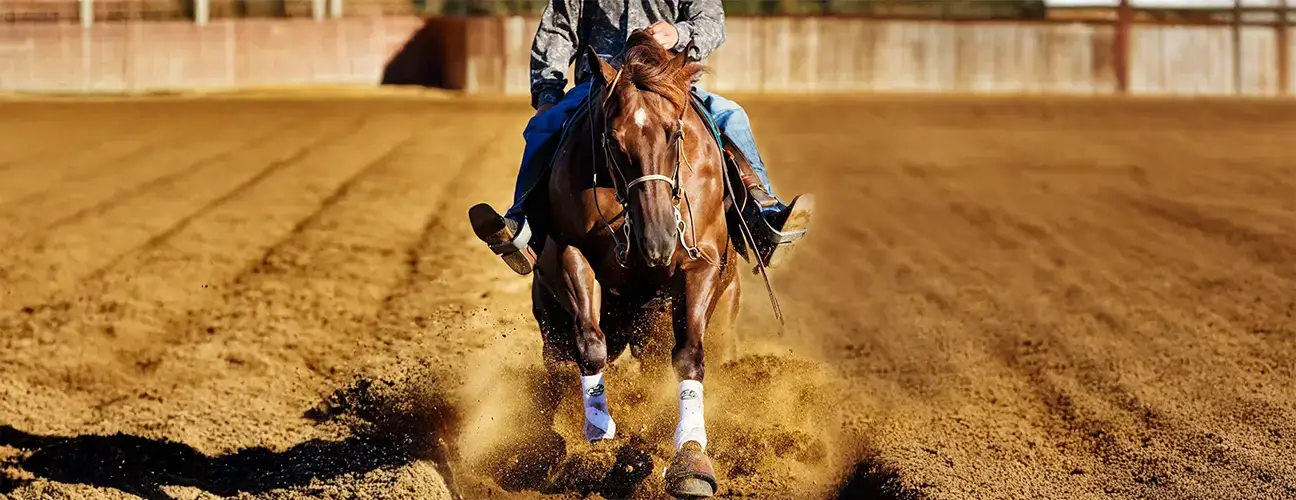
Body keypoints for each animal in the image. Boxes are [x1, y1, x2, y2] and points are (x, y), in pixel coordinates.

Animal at [519, 30, 743, 497]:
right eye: (613, 140)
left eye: (675, 134)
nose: (658, 241)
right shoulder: (570, 254)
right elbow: (591, 349)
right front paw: (596, 442)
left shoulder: (702, 265)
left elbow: (689, 357)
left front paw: (690, 458)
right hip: (550, 322)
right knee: (559, 367)